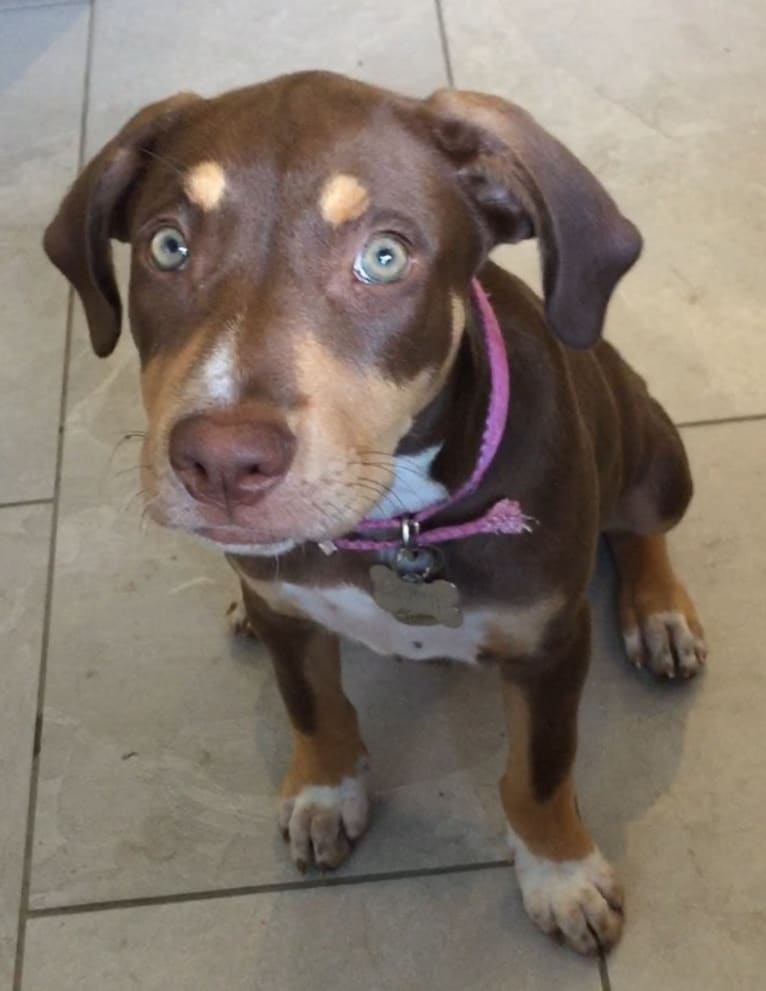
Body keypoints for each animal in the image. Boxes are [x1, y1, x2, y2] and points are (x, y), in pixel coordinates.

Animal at [45, 70, 712, 952]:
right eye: (166, 247)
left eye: (384, 257)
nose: (222, 463)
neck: (393, 524)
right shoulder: (292, 613)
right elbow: (313, 704)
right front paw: (327, 792)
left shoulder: (551, 645)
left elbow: (539, 771)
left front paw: (561, 875)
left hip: (655, 452)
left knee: (641, 527)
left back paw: (660, 612)